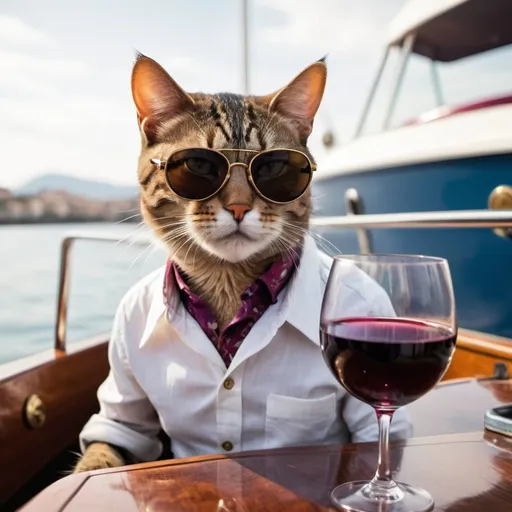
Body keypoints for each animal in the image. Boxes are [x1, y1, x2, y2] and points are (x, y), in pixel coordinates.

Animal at [72, 52, 326, 472]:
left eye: (274, 167)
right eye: (199, 166)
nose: (239, 206)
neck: (226, 283)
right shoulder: (120, 420)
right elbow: (105, 445)